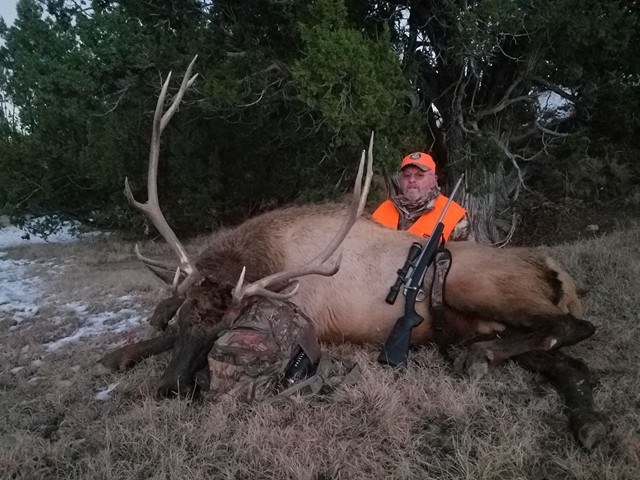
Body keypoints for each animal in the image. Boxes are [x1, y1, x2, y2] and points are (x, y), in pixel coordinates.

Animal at [102, 56, 607, 451]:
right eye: (186, 313)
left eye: (221, 330)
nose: (169, 388)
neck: (268, 256)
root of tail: (551, 268)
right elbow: (154, 338)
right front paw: (120, 354)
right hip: (491, 322)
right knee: (570, 362)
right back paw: (589, 424)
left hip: (475, 285)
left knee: (574, 325)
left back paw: (483, 358)